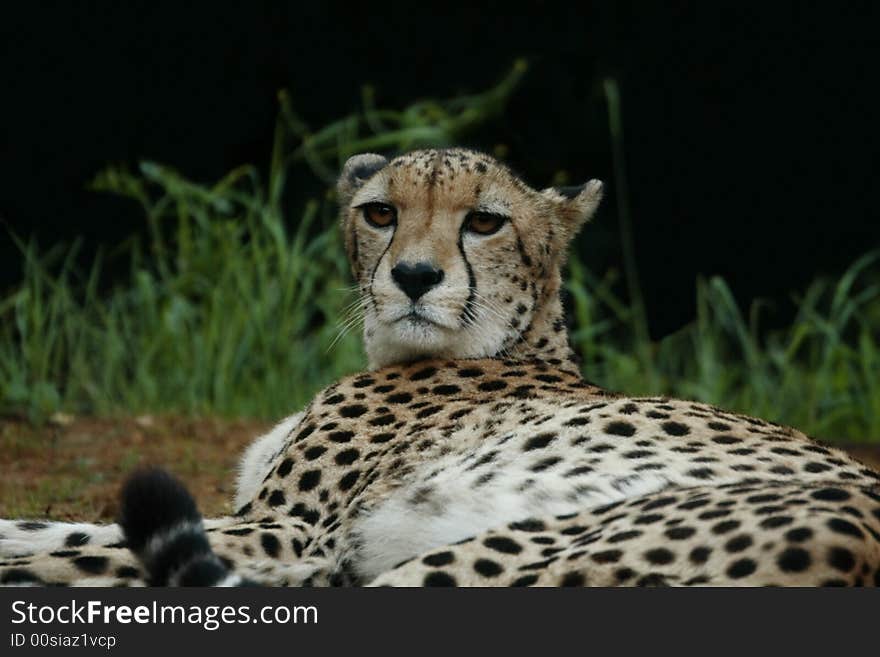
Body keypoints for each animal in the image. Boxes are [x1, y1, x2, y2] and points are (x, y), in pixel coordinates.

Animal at [1, 149, 880, 584]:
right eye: (380, 212)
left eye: (484, 222)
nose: (415, 276)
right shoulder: (258, 522)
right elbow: (55, 526)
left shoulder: (286, 530)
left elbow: (74, 549)